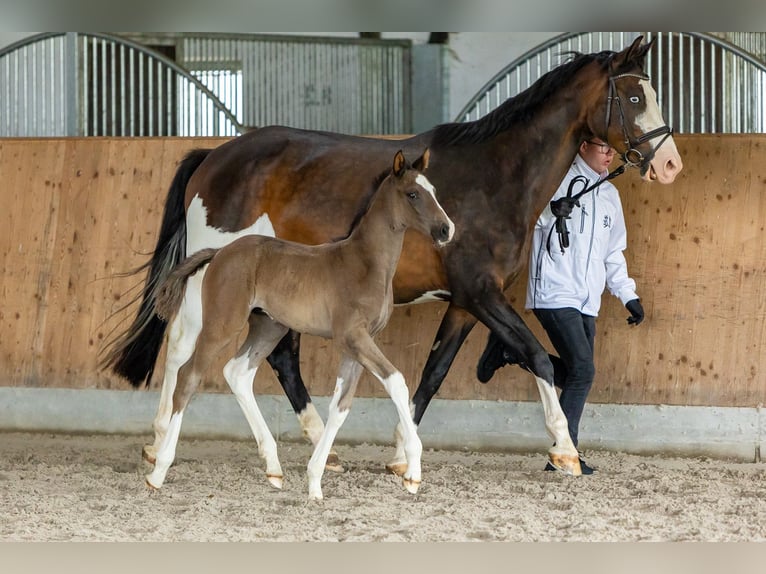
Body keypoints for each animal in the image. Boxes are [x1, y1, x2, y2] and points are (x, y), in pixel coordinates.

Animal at [147, 151, 452, 502]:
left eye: (434, 191)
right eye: (413, 194)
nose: (446, 229)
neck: (365, 263)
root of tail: (220, 252)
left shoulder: (356, 345)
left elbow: (340, 406)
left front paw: (315, 481)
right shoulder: (353, 337)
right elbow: (397, 382)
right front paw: (412, 472)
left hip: (269, 327)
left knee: (236, 372)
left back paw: (273, 468)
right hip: (222, 323)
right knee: (189, 376)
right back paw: (158, 471)